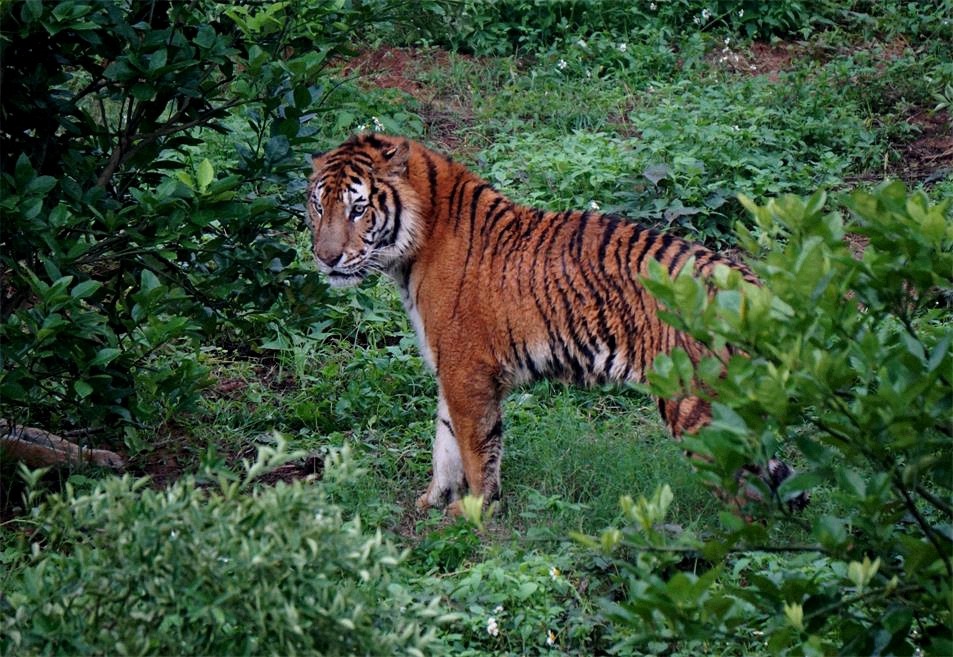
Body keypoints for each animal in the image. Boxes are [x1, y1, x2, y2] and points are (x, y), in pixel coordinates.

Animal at [305, 133, 805, 514]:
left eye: (358, 209)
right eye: (318, 206)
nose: (326, 258)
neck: (414, 244)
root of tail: (752, 284)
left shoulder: (468, 371)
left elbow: (475, 449)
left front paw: (473, 513)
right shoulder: (450, 369)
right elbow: (444, 442)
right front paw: (433, 501)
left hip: (699, 407)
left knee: (746, 499)